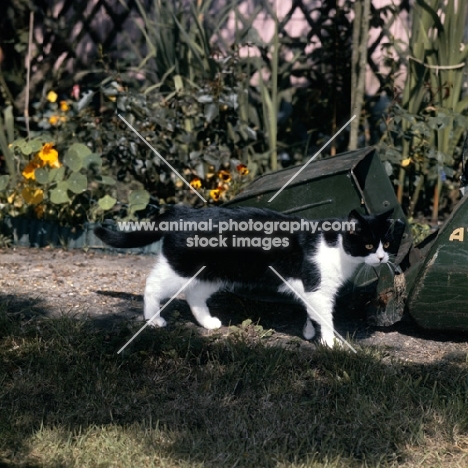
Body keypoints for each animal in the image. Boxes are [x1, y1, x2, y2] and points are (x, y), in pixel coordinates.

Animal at [96, 206, 398, 348]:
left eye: (387, 243)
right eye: (368, 245)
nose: (382, 258)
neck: (336, 246)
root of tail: (184, 210)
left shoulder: (312, 292)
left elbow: (312, 314)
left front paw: (310, 333)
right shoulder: (318, 289)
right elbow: (326, 318)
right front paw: (330, 343)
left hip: (212, 274)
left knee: (194, 294)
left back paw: (208, 323)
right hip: (180, 268)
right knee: (153, 285)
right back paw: (153, 319)